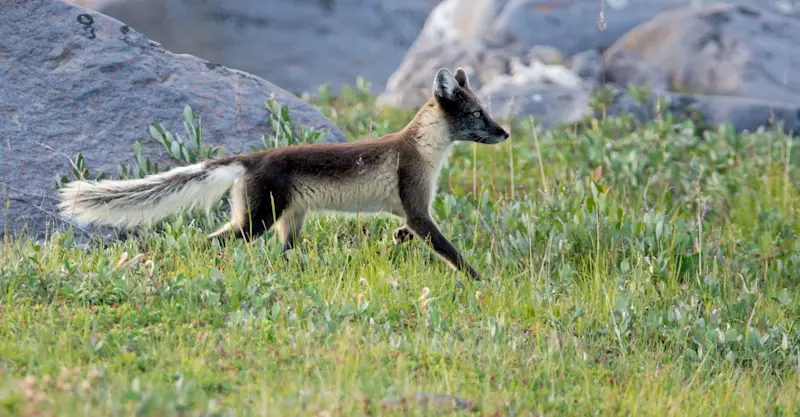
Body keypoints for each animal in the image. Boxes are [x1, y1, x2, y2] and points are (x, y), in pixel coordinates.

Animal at [58, 67, 510, 281]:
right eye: (477, 114)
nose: (505, 133)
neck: (426, 150)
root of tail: (250, 158)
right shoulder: (416, 203)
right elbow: (450, 251)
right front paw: (481, 281)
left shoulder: (407, 211)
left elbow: (408, 231)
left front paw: (397, 238)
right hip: (258, 220)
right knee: (208, 241)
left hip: (289, 221)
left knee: (282, 251)